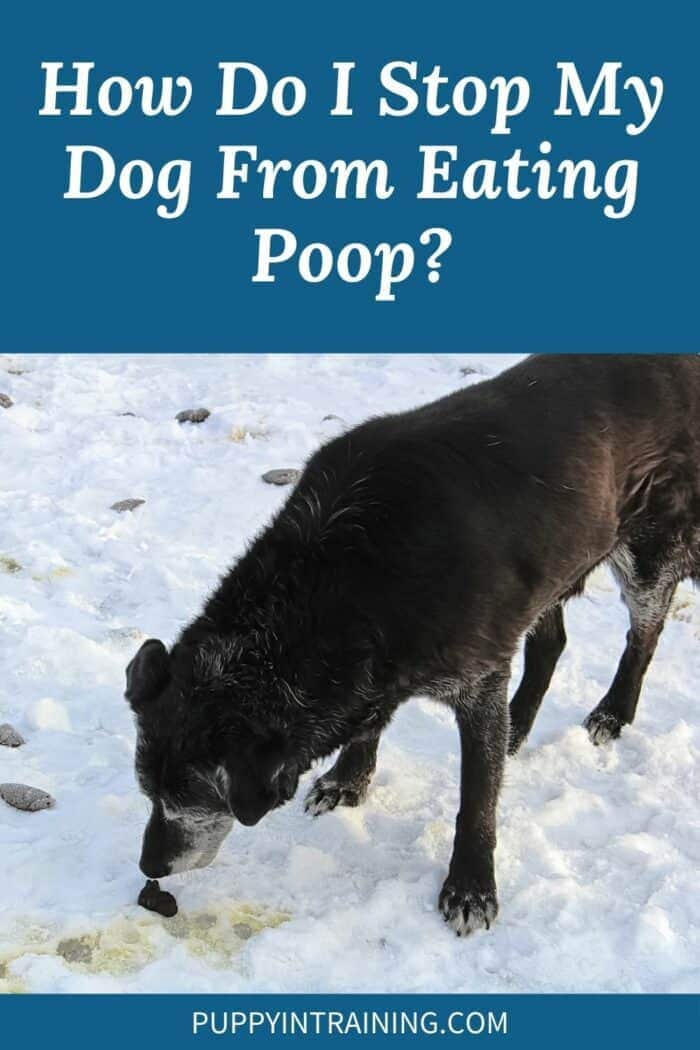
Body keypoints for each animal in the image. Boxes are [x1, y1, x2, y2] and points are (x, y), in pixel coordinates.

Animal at [125, 354, 700, 936]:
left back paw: (612, 712)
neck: (344, 575)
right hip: (555, 563)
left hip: (647, 556)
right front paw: (347, 780)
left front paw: (470, 887)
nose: (150, 865)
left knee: (643, 637)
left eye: (191, 799)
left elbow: (476, 800)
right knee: (551, 644)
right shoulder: (380, 668)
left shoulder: (479, 682)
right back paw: (518, 729)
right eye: (149, 794)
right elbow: (369, 724)